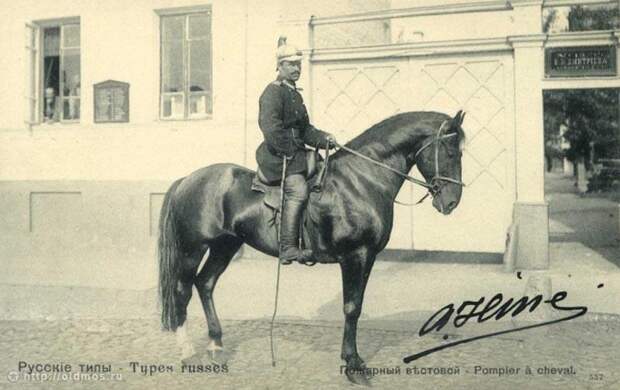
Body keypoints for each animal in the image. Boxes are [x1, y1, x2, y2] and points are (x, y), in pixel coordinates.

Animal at [160, 111, 464, 386]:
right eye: (450, 152)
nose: (451, 202)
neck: (362, 179)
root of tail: (187, 179)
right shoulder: (355, 255)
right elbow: (351, 308)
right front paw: (354, 366)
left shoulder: (368, 257)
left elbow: (357, 306)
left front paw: (353, 360)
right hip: (192, 249)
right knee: (182, 291)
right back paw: (187, 352)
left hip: (225, 246)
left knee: (205, 283)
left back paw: (216, 346)